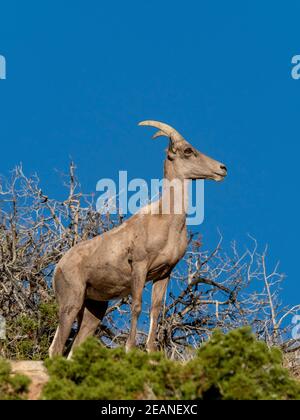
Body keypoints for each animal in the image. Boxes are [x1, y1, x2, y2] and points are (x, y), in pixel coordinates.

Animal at [49, 120, 227, 356]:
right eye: (188, 151)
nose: (222, 169)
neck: (167, 221)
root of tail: (59, 267)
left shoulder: (164, 274)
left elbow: (155, 310)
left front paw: (152, 351)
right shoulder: (140, 267)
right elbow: (137, 306)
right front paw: (130, 348)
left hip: (93, 312)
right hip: (71, 303)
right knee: (55, 347)